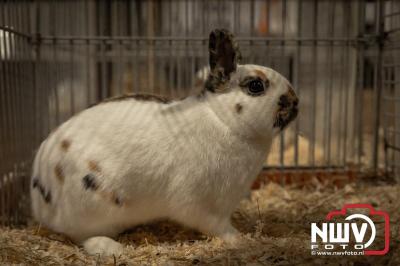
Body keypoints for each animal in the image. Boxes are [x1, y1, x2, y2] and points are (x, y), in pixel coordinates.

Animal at [31, 28, 298, 256]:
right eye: (256, 86)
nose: (296, 103)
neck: (224, 120)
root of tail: (39, 193)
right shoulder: (201, 204)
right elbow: (216, 225)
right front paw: (239, 239)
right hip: (92, 205)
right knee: (82, 236)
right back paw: (112, 248)